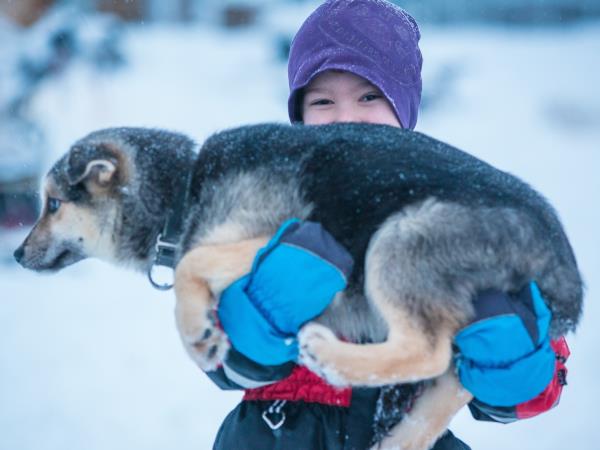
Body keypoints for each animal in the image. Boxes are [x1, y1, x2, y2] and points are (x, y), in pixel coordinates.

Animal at [14, 123, 584, 450]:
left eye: (53, 204)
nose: (17, 255)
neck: (184, 190)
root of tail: (564, 270)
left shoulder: (279, 237)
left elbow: (191, 263)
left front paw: (196, 333)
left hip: (397, 241)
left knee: (427, 350)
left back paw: (331, 355)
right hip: (484, 327)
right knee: (445, 385)